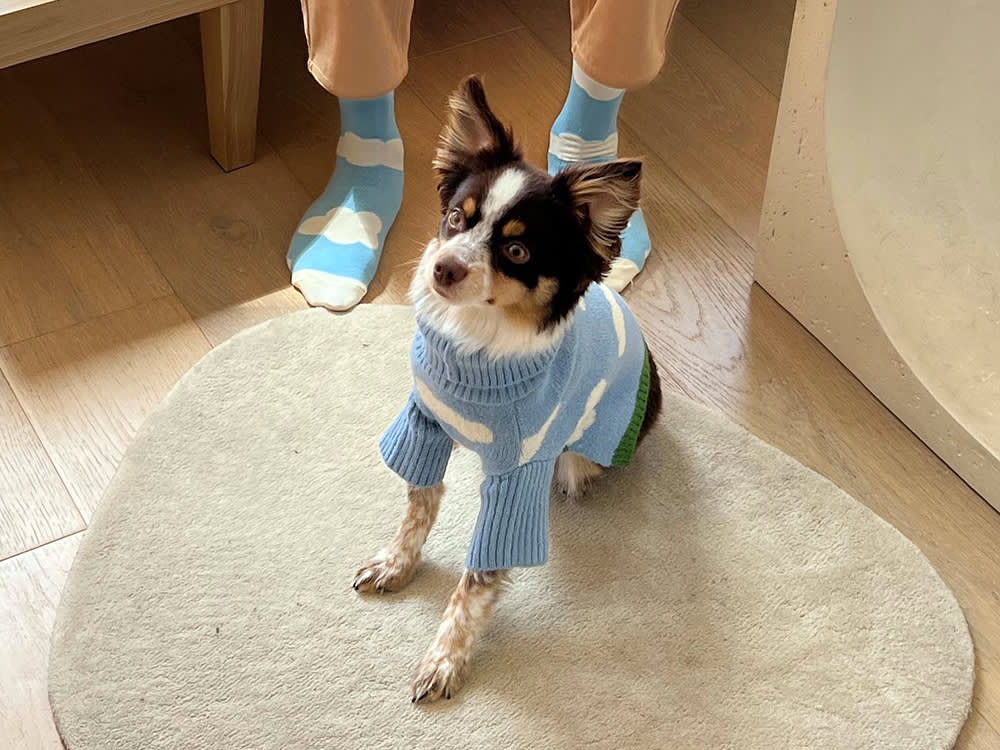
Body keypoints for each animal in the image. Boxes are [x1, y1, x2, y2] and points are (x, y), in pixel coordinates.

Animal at [354, 76, 664, 704]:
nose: (443, 268)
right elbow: (419, 505)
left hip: (581, 458)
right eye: (455, 217)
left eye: (517, 251)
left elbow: (476, 581)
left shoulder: (517, 476)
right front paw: (397, 564)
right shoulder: (425, 422)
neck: (474, 346)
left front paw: (445, 659)